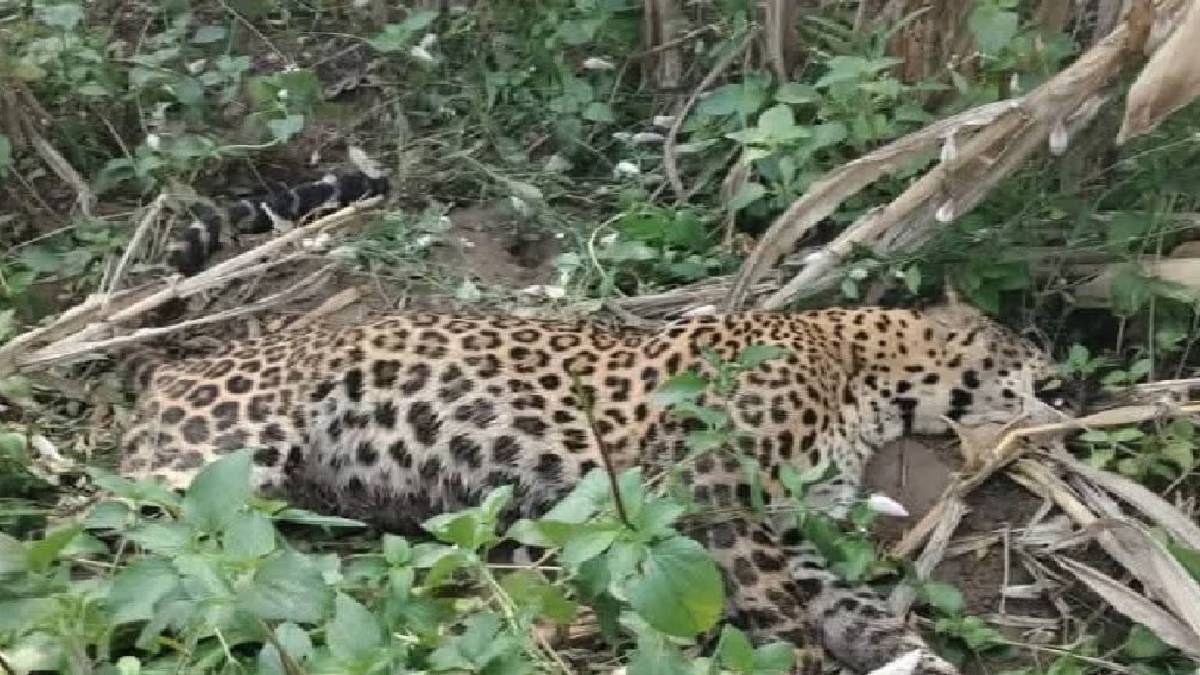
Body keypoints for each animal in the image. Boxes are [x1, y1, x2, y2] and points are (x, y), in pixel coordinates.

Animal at [118, 300, 1060, 674]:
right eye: (1021, 351)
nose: (1058, 381)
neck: (866, 382)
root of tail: (166, 371)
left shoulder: (788, 529)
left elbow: (859, 611)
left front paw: (918, 655)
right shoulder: (713, 485)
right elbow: (781, 619)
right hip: (213, 458)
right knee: (129, 553)